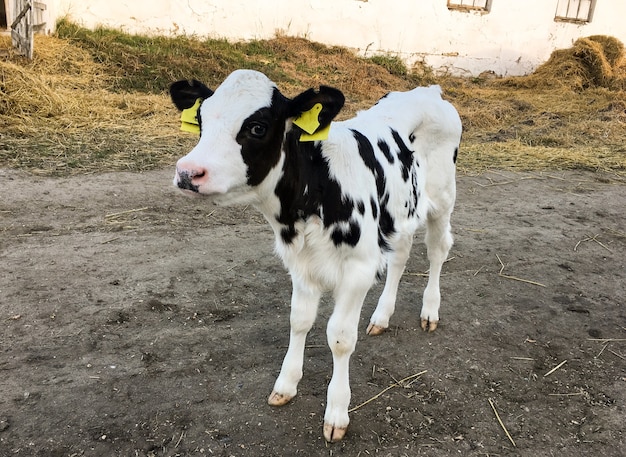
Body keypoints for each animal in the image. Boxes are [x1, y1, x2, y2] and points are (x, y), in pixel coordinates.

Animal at [168, 70, 460, 442]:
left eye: (258, 127)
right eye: (201, 120)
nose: (188, 172)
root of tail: (428, 90)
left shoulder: (359, 269)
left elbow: (340, 338)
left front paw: (337, 411)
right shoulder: (300, 264)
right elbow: (299, 320)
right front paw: (286, 384)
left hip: (443, 198)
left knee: (437, 249)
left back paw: (429, 311)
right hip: (401, 210)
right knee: (401, 254)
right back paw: (381, 316)